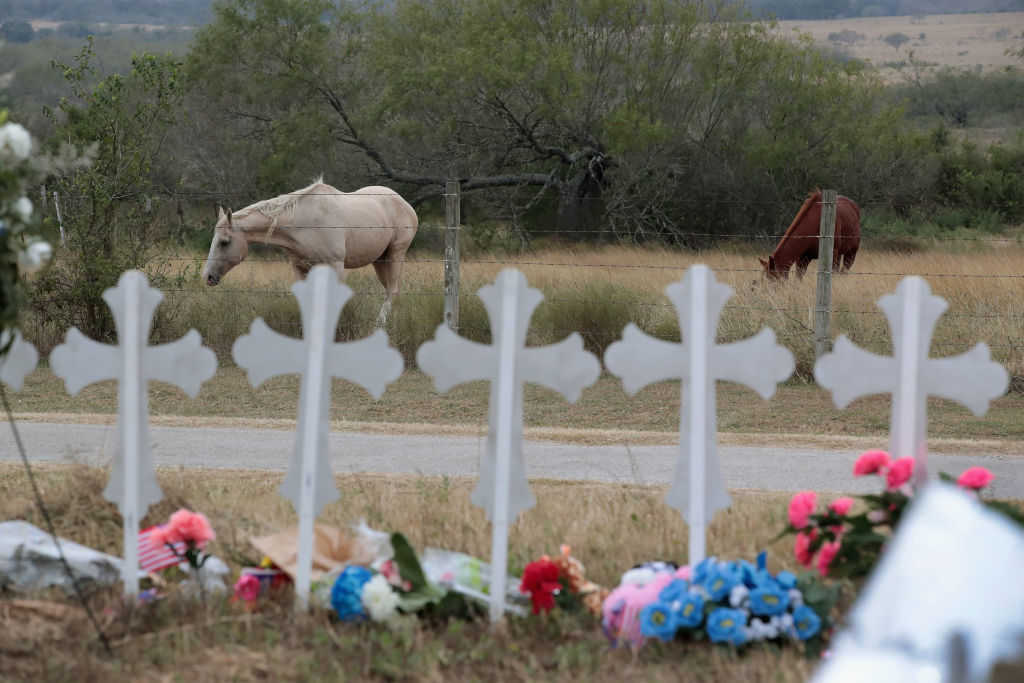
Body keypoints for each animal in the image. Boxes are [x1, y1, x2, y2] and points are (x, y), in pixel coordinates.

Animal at [199, 176, 415, 325]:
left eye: (224, 242)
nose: (207, 276)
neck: (304, 223)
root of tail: (404, 203)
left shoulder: (336, 266)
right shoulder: (300, 267)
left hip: (396, 254)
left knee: (392, 290)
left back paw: (380, 324)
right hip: (380, 260)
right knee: (388, 290)